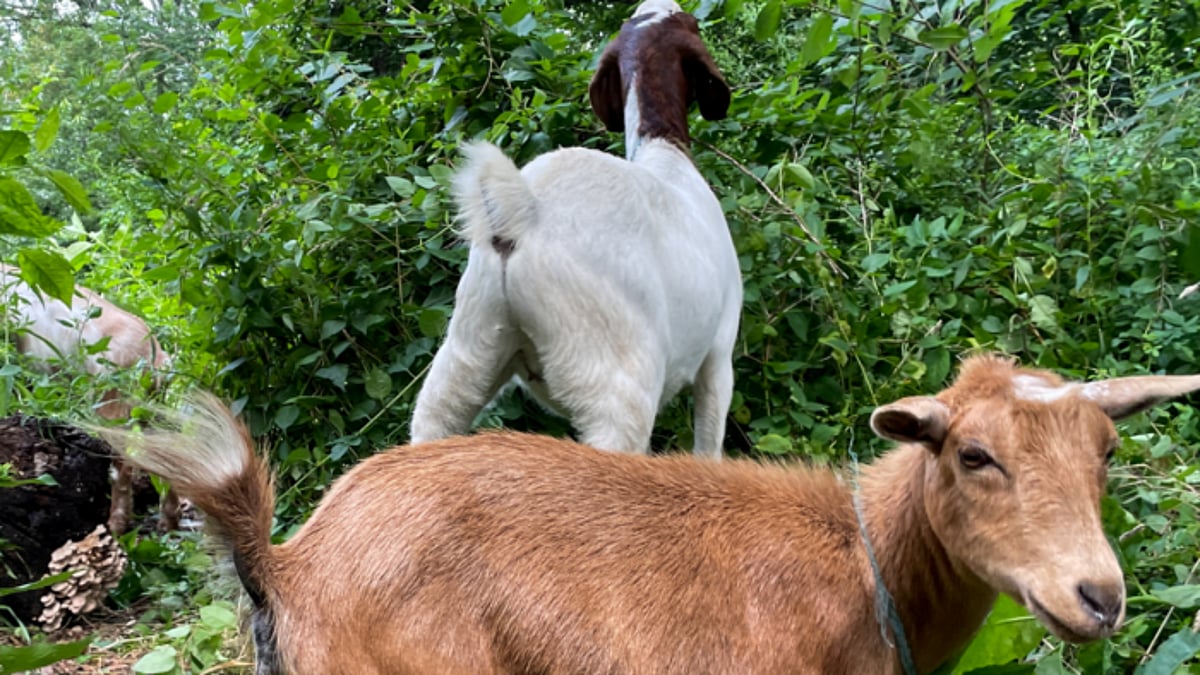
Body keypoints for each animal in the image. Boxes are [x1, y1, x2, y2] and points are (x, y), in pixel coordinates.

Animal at [0, 264, 176, 535]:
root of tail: (156, 360)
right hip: (152, 408)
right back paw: (169, 523)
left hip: (113, 407)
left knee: (123, 464)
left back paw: (116, 525)